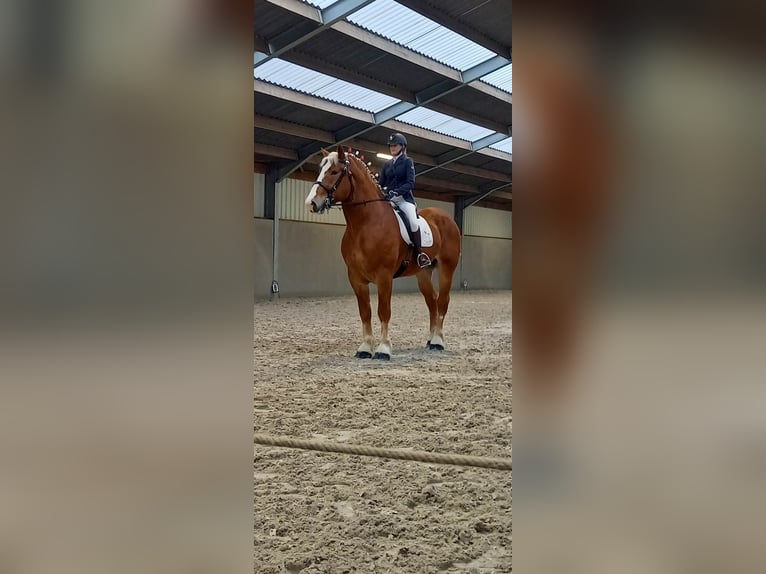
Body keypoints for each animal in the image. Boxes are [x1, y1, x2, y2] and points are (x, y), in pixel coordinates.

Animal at [304, 144, 462, 360]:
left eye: (335, 172)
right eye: (320, 170)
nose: (311, 203)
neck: (365, 224)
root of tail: (446, 217)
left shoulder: (384, 276)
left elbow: (383, 311)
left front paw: (383, 349)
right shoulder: (355, 277)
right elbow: (365, 312)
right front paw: (364, 348)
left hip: (447, 268)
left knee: (443, 301)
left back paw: (438, 341)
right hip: (423, 272)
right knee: (432, 302)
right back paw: (430, 340)